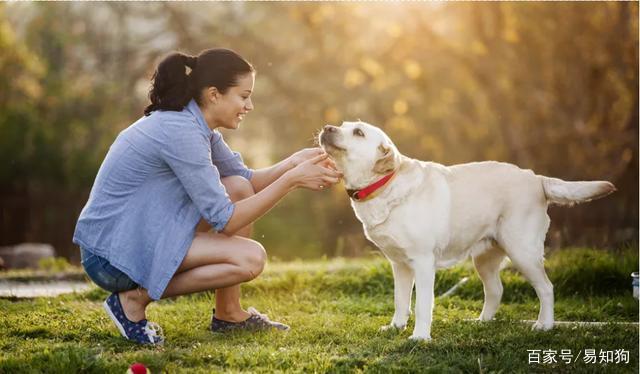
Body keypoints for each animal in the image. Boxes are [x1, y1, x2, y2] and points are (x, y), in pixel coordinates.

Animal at [320, 121, 616, 340]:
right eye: (343, 125)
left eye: (358, 132)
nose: (327, 127)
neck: (383, 185)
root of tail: (536, 177)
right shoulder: (399, 264)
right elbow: (400, 300)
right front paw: (395, 326)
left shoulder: (423, 262)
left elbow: (422, 304)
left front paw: (419, 337)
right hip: (484, 258)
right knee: (496, 290)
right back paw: (481, 322)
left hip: (522, 251)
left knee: (546, 288)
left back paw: (544, 325)